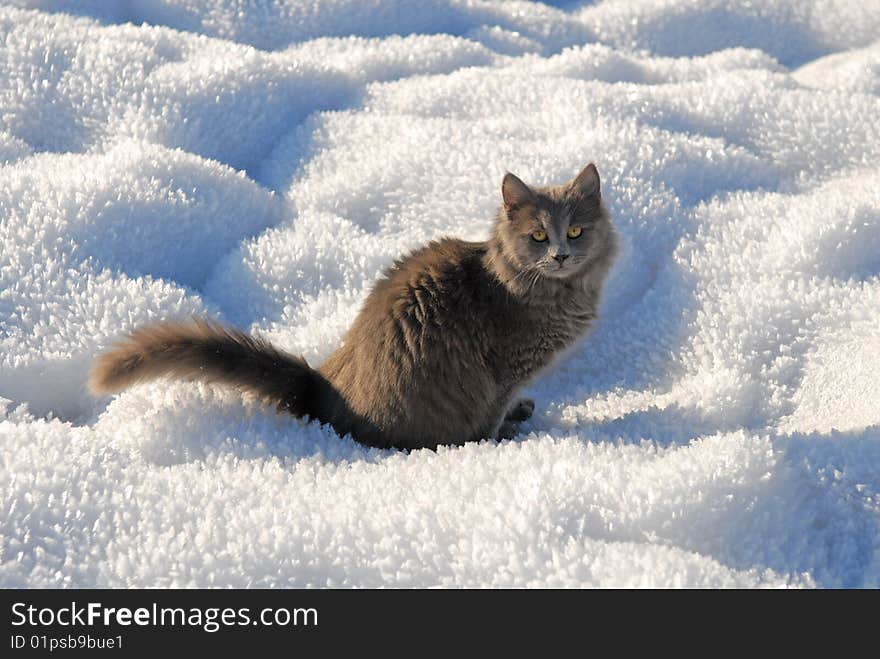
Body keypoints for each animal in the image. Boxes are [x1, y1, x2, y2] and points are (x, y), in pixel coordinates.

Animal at [86, 165, 616, 454]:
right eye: (539, 236)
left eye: (575, 231)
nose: (560, 255)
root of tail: (324, 387)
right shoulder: (503, 371)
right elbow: (490, 415)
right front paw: (499, 438)